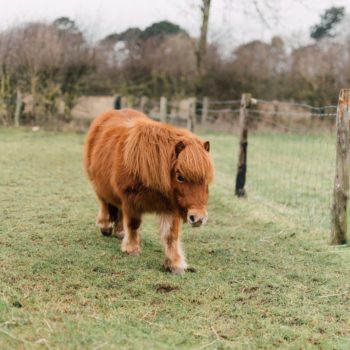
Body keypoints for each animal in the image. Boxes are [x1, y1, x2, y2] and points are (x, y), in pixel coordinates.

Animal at [83, 108, 215, 274]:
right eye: (180, 177)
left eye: (206, 179)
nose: (198, 218)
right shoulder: (130, 200)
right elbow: (133, 224)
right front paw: (131, 250)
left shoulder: (170, 206)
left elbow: (170, 235)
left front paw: (174, 264)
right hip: (99, 186)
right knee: (104, 203)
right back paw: (106, 226)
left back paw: (120, 232)